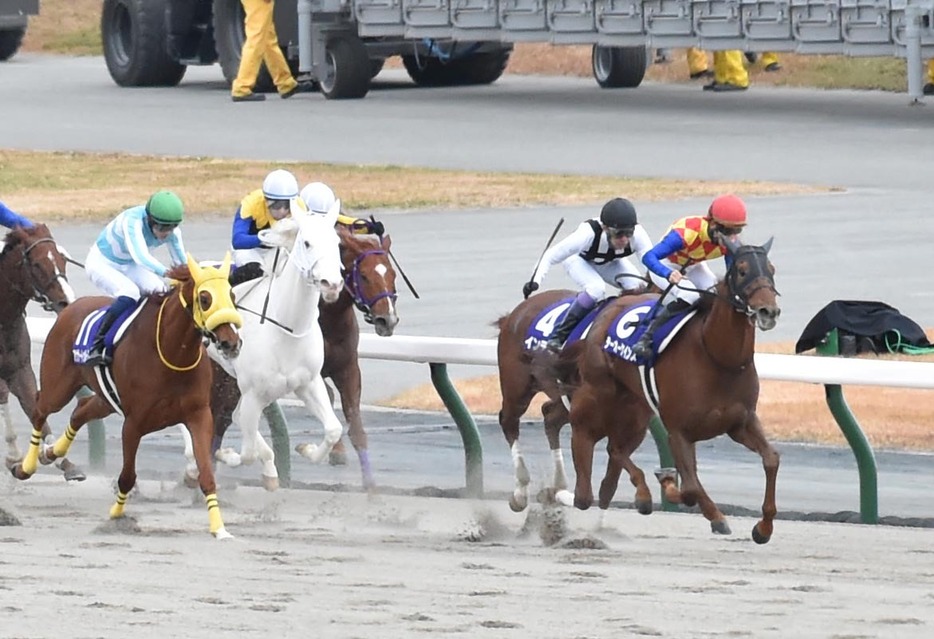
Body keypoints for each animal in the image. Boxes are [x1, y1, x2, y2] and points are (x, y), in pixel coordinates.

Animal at [0, 225, 83, 480]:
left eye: (62, 259)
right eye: (36, 264)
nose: (66, 302)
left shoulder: (20, 368)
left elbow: (33, 404)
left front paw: (57, 457)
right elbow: (4, 397)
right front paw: (14, 457)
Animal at [11, 256, 243, 540]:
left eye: (232, 295)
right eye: (205, 298)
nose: (231, 342)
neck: (172, 352)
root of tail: (71, 306)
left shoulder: (199, 415)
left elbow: (207, 474)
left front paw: (220, 529)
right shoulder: (133, 423)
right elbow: (127, 477)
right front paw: (115, 517)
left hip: (105, 400)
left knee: (81, 410)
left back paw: (51, 452)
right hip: (58, 386)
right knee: (39, 411)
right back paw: (26, 467)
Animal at [181, 202, 346, 492]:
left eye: (336, 242)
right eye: (306, 242)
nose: (332, 284)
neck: (285, 329)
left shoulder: (308, 383)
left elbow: (333, 429)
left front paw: (304, 449)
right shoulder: (254, 393)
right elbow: (246, 453)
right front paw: (226, 455)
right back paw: (193, 463)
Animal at [208, 226, 398, 490]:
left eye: (392, 274)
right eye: (365, 276)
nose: (387, 320)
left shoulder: (347, 368)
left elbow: (353, 426)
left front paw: (369, 483)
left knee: (231, 416)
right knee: (220, 418)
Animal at [572, 240, 784, 544]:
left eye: (771, 269)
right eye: (742, 271)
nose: (769, 311)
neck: (717, 357)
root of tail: (614, 303)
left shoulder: (741, 422)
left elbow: (771, 460)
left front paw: (762, 528)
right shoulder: (679, 431)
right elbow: (691, 488)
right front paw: (674, 486)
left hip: (634, 404)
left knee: (616, 448)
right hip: (598, 389)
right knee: (581, 428)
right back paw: (586, 492)